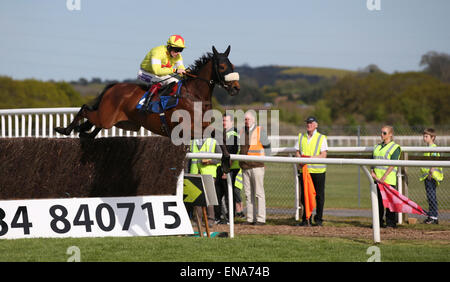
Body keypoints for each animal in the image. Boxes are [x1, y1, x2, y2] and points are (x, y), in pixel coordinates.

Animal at [56, 45, 243, 172]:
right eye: (222, 67)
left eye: (233, 66)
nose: (236, 88)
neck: (194, 95)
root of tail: (114, 86)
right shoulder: (186, 129)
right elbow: (216, 133)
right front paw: (225, 162)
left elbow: (219, 134)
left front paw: (226, 161)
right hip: (107, 117)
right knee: (85, 109)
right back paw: (65, 129)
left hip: (121, 122)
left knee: (94, 125)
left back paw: (84, 133)